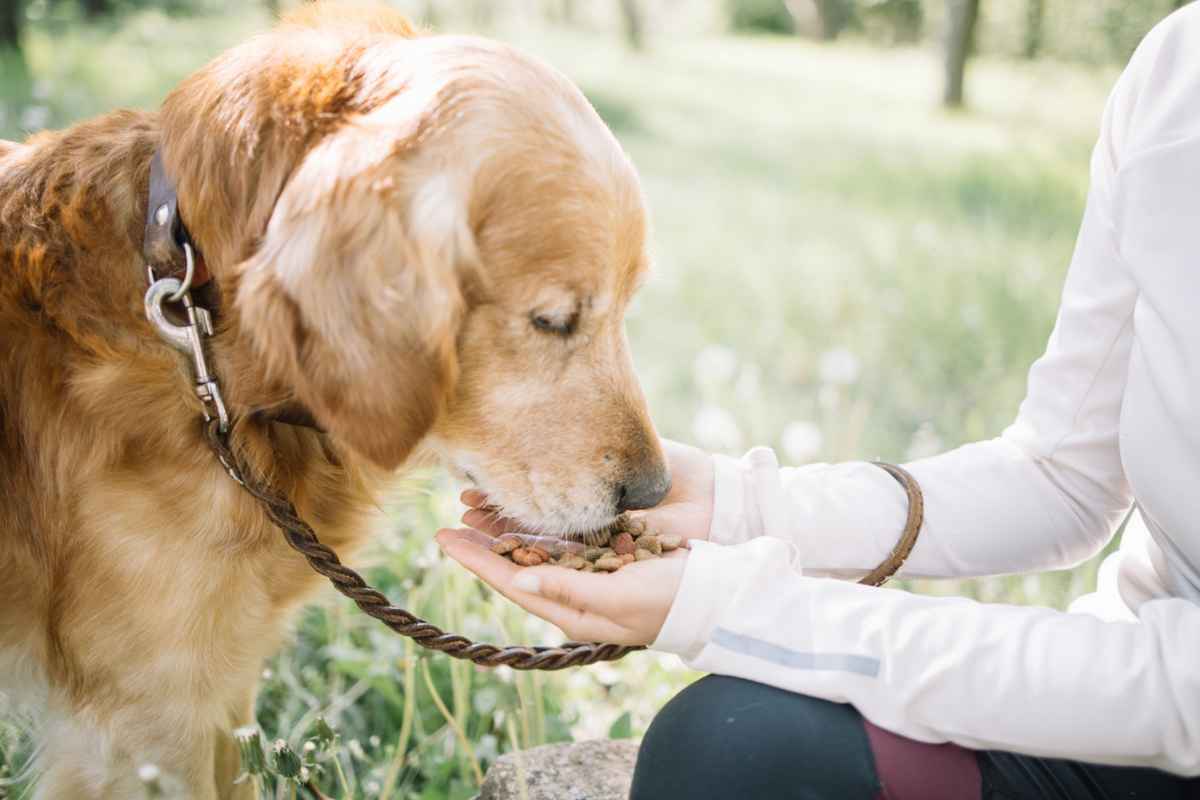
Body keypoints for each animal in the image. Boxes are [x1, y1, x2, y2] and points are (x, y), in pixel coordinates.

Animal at [0, 4, 672, 796]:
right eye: (553, 320)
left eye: (629, 303)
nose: (653, 492)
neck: (198, 326)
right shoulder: (145, 721)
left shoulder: (220, 690)